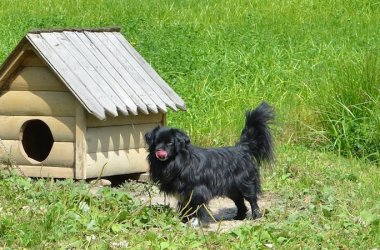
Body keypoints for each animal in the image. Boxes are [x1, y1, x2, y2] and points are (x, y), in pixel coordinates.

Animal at [145, 101, 274, 225]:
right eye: (156, 142)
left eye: (170, 143)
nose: (159, 150)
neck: (176, 162)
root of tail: (242, 148)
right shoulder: (183, 194)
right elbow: (184, 207)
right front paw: (183, 220)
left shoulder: (198, 191)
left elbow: (198, 208)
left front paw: (198, 222)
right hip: (232, 189)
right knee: (240, 202)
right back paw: (239, 217)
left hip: (245, 184)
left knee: (252, 199)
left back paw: (255, 216)